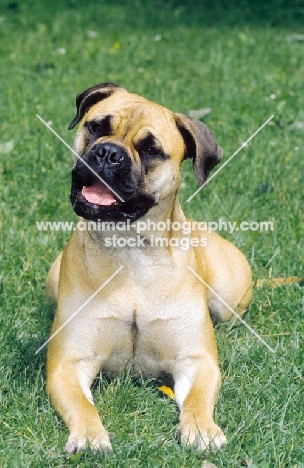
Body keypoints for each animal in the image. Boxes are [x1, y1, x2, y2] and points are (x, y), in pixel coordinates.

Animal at [45, 83, 252, 454]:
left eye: (151, 150)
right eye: (96, 127)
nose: (108, 153)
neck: (131, 250)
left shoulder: (195, 360)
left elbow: (198, 397)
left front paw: (201, 428)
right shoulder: (69, 362)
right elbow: (81, 403)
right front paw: (89, 434)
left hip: (229, 300)